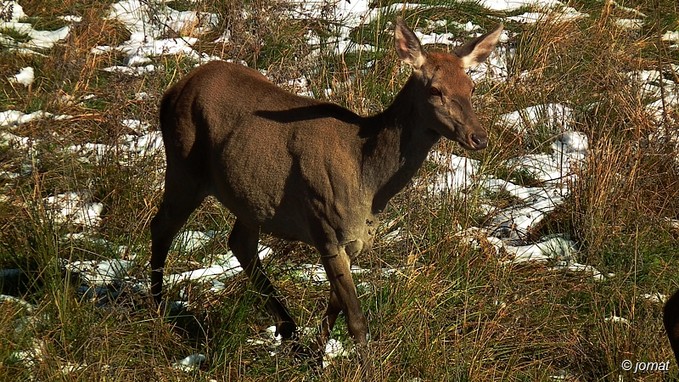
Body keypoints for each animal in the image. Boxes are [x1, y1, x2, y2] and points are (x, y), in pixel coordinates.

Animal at [151, 18, 502, 362]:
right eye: (435, 90)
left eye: (472, 87)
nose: (479, 137)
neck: (369, 181)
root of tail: (171, 92)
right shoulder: (325, 227)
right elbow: (355, 318)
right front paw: (365, 367)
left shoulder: (355, 239)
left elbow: (334, 306)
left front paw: (317, 357)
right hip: (184, 165)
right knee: (162, 226)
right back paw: (158, 307)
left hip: (248, 193)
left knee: (240, 242)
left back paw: (289, 330)